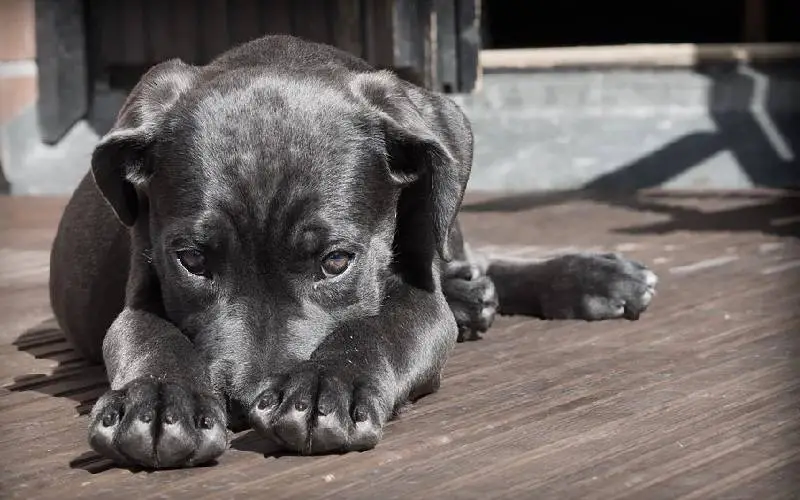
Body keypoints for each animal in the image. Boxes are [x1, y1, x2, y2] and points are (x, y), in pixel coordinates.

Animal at [48, 35, 656, 468]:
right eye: (192, 261)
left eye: (336, 261)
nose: (244, 404)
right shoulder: (141, 285)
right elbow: (149, 334)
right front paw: (157, 401)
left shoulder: (419, 297)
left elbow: (380, 326)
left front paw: (325, 386)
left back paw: (589, 277)